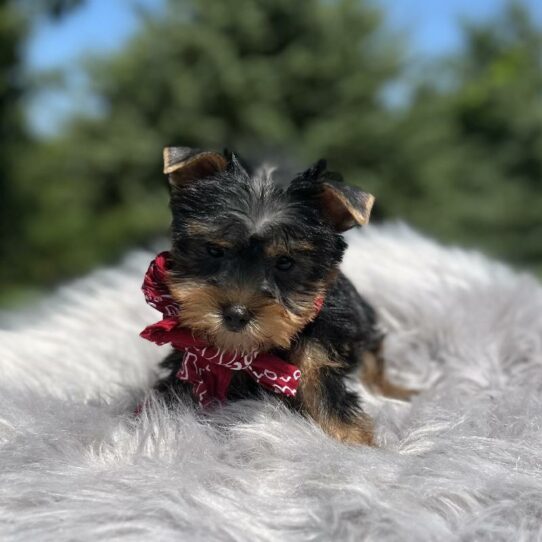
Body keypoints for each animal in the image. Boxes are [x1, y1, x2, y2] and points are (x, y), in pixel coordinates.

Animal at [153, 149, 412, 446]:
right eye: (214, 251)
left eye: (285, 263)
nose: (236, 314)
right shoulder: (193, 354)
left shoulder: (324, 336)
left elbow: (318, 376)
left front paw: (350, 436)